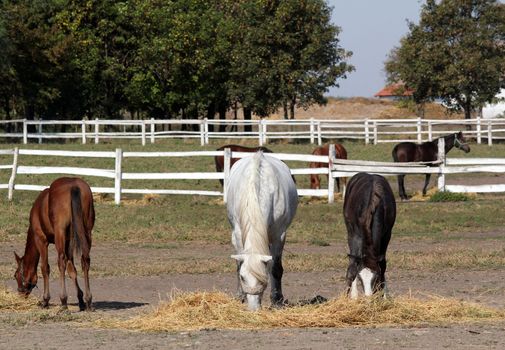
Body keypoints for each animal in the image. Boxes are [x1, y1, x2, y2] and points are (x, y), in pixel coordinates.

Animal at [14, 176, 94, 310]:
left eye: (16, 276)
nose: (20, 293)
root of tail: (73, 186)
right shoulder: (68, 241)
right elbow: (72, 270)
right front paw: (81, 299)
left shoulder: (41, 240)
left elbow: (45, 268)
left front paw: (45, 300)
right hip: (86, 231)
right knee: (85, 260)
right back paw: (88, 300)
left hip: (59, 234)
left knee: (61, 261)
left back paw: (63, 301)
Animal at [226, 152, 298, 310]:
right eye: (243, 277)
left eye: (263, 278)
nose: (253, 309)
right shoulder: (239, 234)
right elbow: (239, 264)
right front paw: (240, 295)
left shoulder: (279, 235)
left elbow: (275, 268)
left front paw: (277, 300)